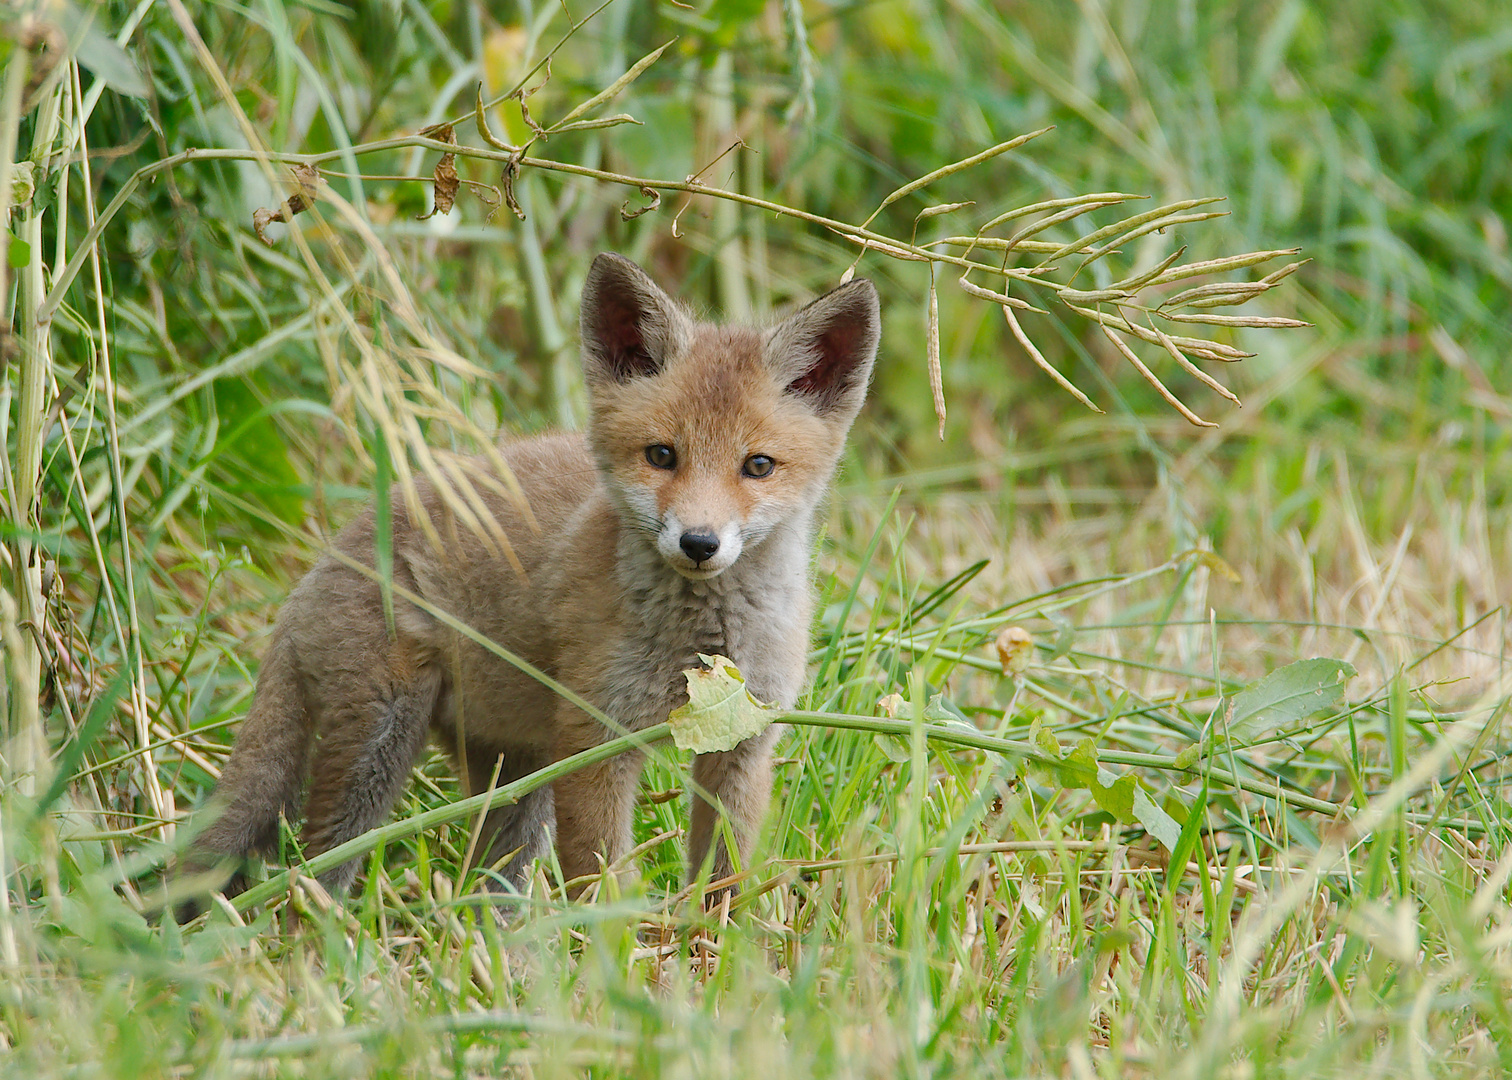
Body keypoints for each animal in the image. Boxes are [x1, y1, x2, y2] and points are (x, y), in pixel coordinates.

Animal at [173, 254, 883, 919]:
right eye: (661, 456)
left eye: (757, 466)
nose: (699, 543)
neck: (701, 647)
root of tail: (318, 566)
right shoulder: (596, 740)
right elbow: (601, 879)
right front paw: (618, 950)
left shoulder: (742, 741)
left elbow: (723, 878)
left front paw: (712, 948)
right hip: (379, 748)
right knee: (316, 871)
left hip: (517, 780)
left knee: (492, 884)